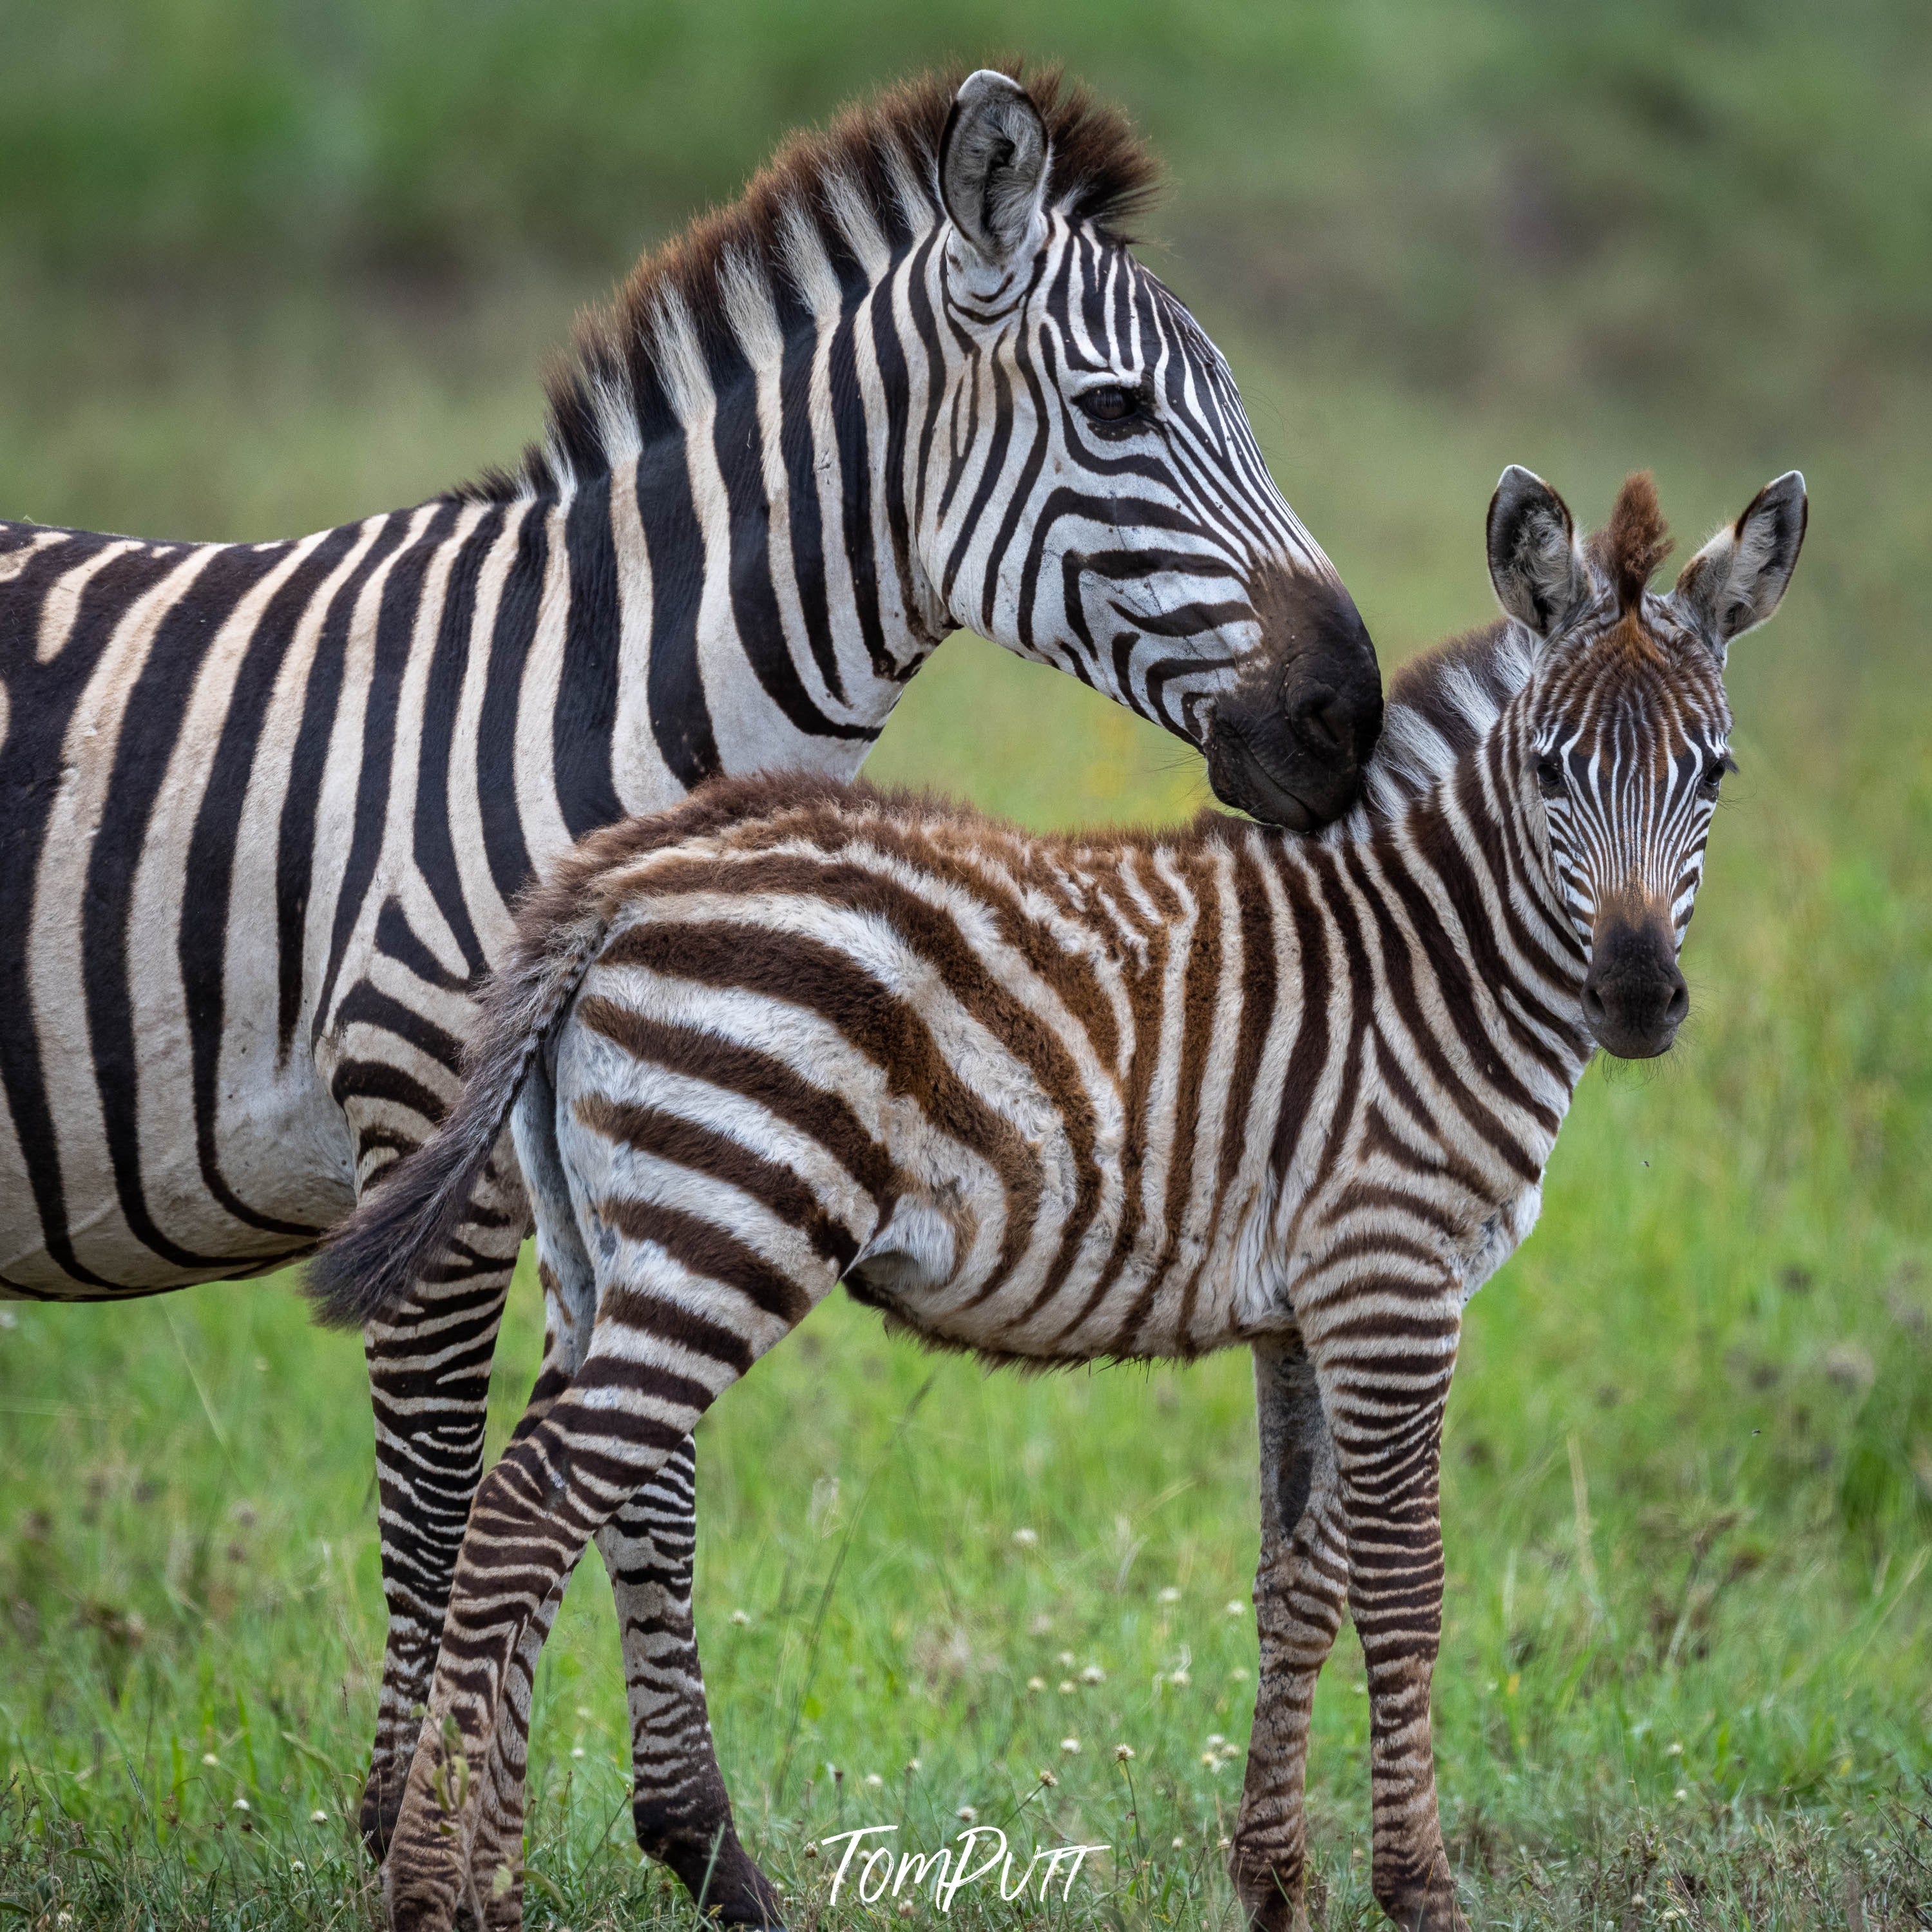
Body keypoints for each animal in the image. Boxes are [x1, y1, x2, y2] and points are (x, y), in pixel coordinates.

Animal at [0, 64, 1383, 1932]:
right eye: (1111, 411)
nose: (1347, 715)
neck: (589, 703)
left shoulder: (654, 1129)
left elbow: (640, 1488)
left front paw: (693, 1843)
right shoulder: (431, 1145)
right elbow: (442, 1504)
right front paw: (403, 1832)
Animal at [309, 459, 1801, 1924]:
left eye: (1715, 771)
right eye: (1547, 769)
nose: (1635, 997)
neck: (1428, 955)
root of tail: (618, 873)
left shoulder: (1304, 1307)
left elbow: (1296, 1578)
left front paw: (1272, 1880)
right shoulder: (1390, 1274)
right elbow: (1400, 1581)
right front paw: (1418, 1889)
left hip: (601, 1244)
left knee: (539, 1518)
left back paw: (486, 1887)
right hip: (728, 1221)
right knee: (523, 1510)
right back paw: (425, 1887)